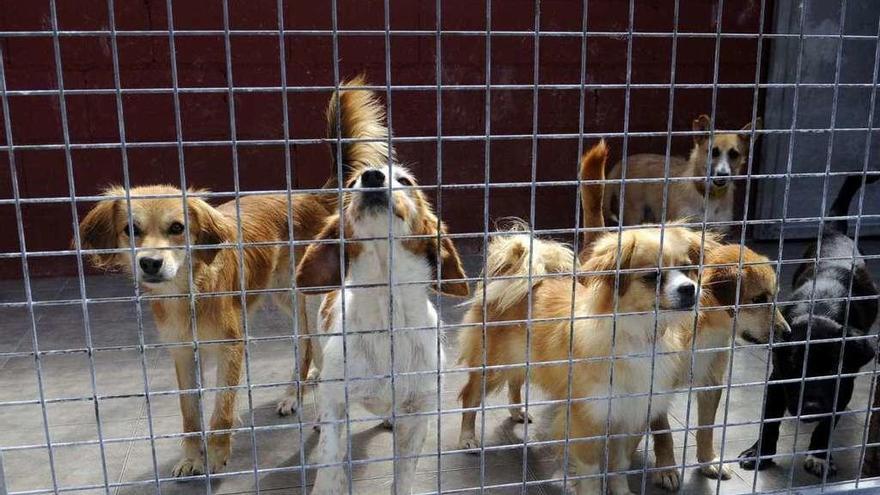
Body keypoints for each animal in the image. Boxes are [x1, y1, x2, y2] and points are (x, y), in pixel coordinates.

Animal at [740, 173, 876, 476]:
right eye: (794, 365)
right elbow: (770, 421)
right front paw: (759, 453)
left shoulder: (842, 384)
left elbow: (827, 424)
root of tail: (836, 232)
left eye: (833, 367)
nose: (811, 407)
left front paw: (820, 456)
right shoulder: (778, 379)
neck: (820, 307)